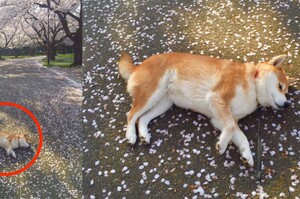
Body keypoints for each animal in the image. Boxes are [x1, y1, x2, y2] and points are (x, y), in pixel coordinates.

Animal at [118, 51, 290, 166]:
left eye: (286, 91)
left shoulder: (220, 118)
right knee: (131, 115)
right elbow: (231, 127)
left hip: (163, 103)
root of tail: (138, 66)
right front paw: (222, 146)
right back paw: (131, 135)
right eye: (281, 86)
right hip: (152, 93)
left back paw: (144, 136)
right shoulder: (217, 99)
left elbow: (241, 137)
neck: (252, 83)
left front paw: (246, 155)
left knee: (142, 118)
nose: (287, 104)